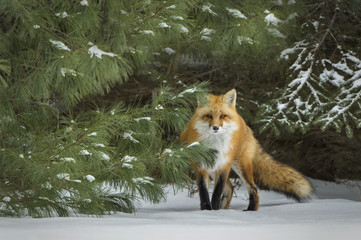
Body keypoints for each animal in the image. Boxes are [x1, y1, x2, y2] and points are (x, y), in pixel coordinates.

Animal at [180, 88, 312, 210]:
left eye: (223, 116)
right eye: (209, 116)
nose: (215, 127)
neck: (215, 145)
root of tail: (243, 121)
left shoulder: (224, 166)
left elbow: (217, 192)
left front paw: (215, 211)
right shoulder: (201, 166)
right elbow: (203, 192)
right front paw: (208, 210)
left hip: (241, 166)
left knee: (253, 189)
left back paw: (250, 210)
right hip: (216, 169)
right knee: (230, 189)